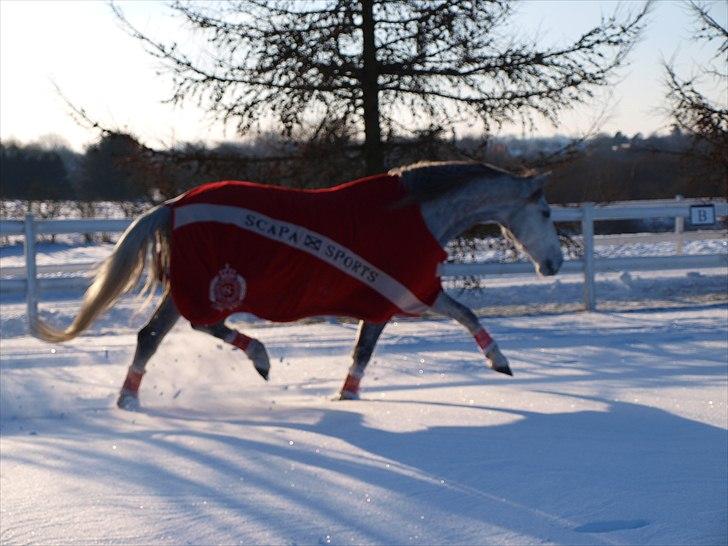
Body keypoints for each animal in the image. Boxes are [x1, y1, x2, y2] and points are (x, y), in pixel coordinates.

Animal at [32, 159, 564, 406]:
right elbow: (461, 314)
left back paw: (129, 400)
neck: (416, 214)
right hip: (208, 288)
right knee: (199, 326)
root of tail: (174, 204)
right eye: (545, 211)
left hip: (186, 291)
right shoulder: (409, 293)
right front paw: (500, 363)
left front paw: (346, 398)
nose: (555, 265)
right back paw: (260, 358)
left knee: (150, 336)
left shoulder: (389, 301)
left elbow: (365, 352)